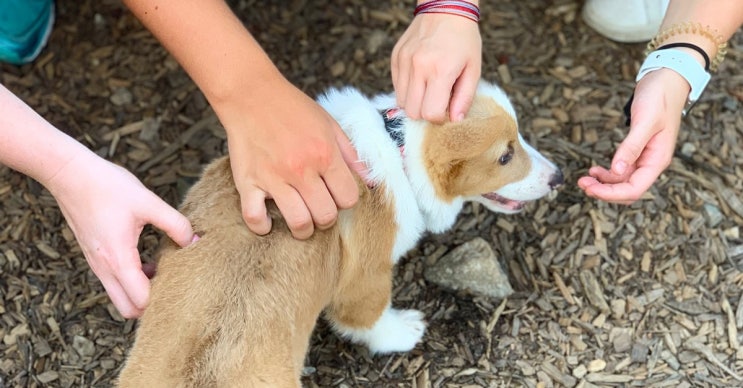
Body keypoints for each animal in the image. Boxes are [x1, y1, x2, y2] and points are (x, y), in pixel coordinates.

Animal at [117, 80, 564, 386]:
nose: (559, 177)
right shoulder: (366, 276)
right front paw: (403, 331)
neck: (400, 148)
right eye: (505, 156)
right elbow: (368, 316)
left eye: (519, 137)